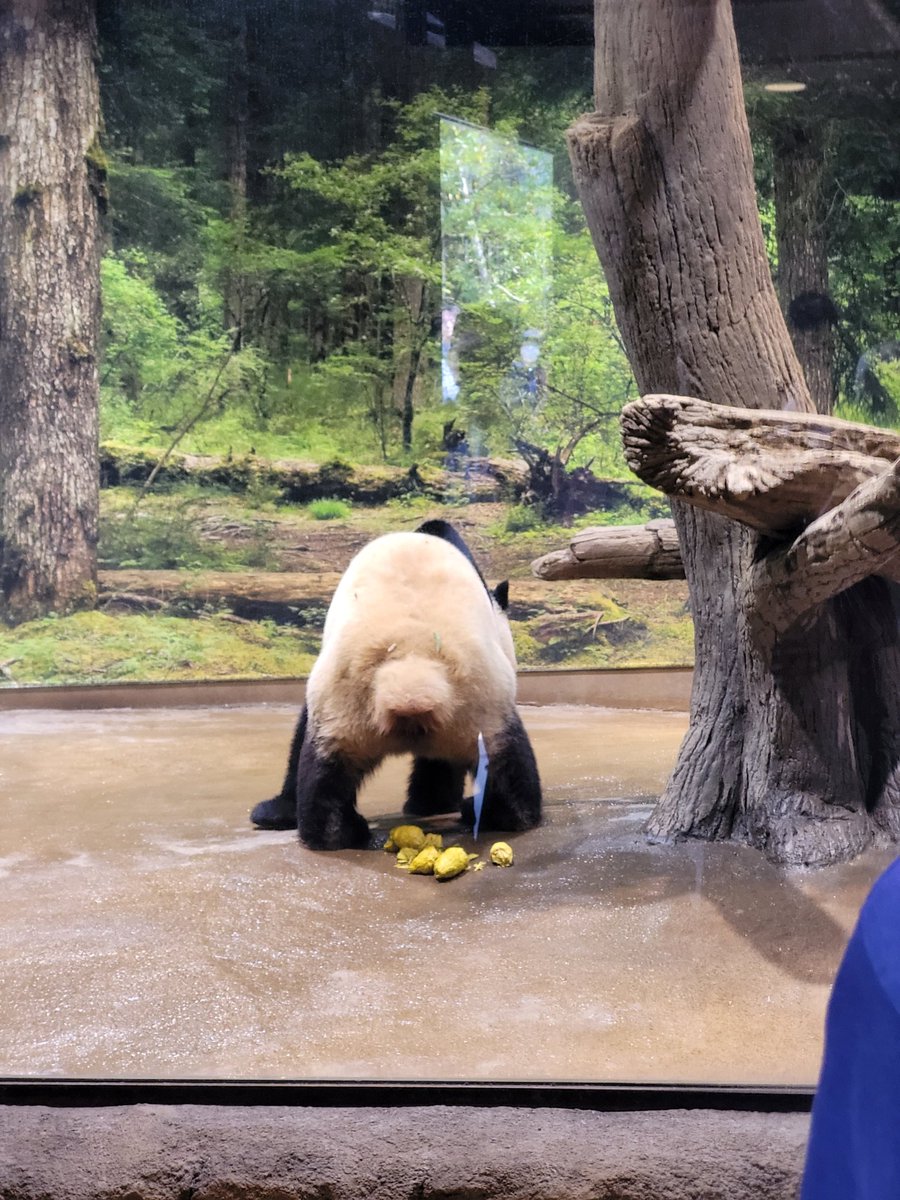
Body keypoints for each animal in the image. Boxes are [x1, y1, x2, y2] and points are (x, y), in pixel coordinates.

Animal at [250, 518, 542, 850]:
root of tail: (407, 678)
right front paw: (432, 804)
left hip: (353, 712)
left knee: (323, 772)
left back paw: (331, 830)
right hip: (471, 705)